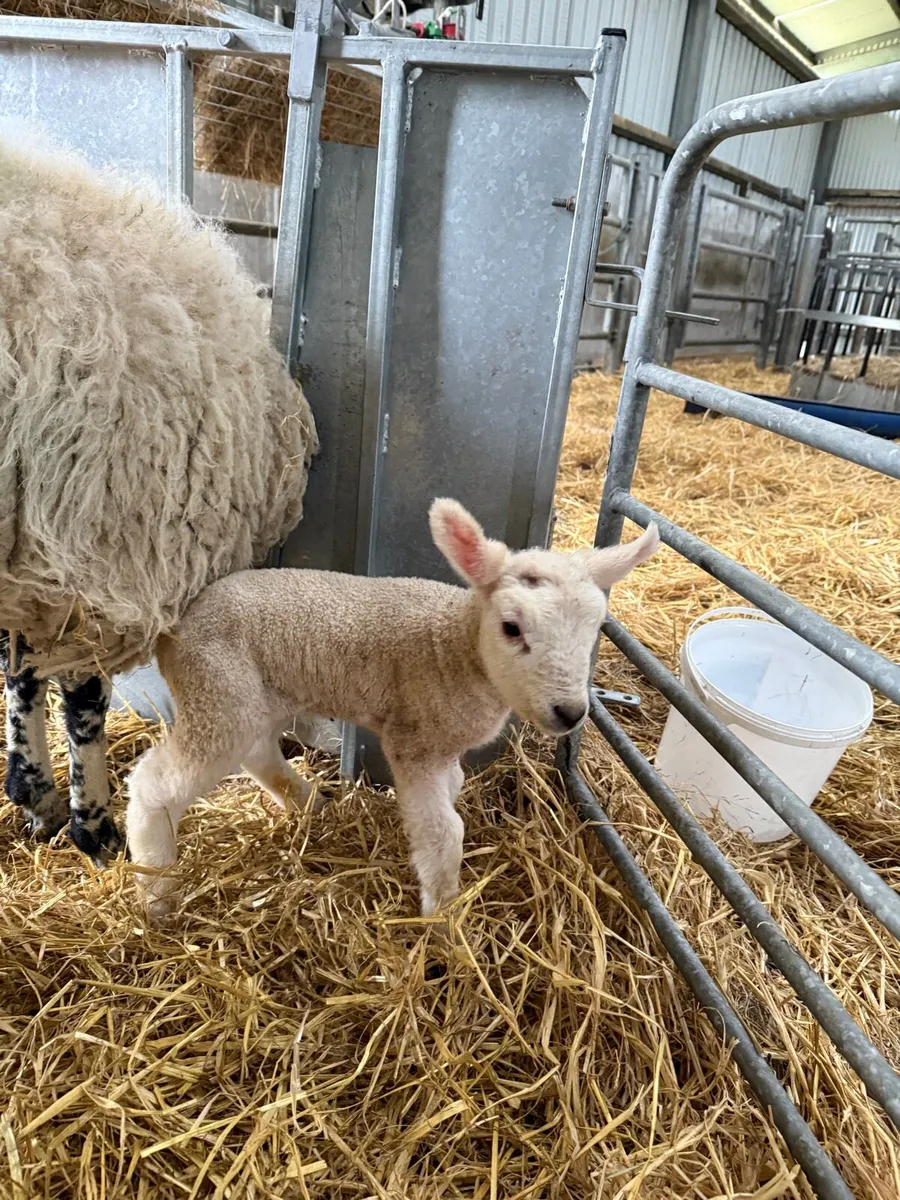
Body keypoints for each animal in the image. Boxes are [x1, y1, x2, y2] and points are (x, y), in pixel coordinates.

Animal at [0, 126, 318, 863]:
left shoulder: (39, 568)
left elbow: (25, 671)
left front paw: (36, 795)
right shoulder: (98, 556)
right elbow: (80, 694)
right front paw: (91, 824)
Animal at [126, 500, 659, 918]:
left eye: (597, 625)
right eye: (512, 627)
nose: (570, 713)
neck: (454, 646)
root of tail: (177, 623)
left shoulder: (442, 749)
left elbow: (454, 789)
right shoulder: (413, 742)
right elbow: (443, 831)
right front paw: (443, 916)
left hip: (256, 696)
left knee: (258, 753)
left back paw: (311, 804)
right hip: (217, 692)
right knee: (156, 783)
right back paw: (158, 890)